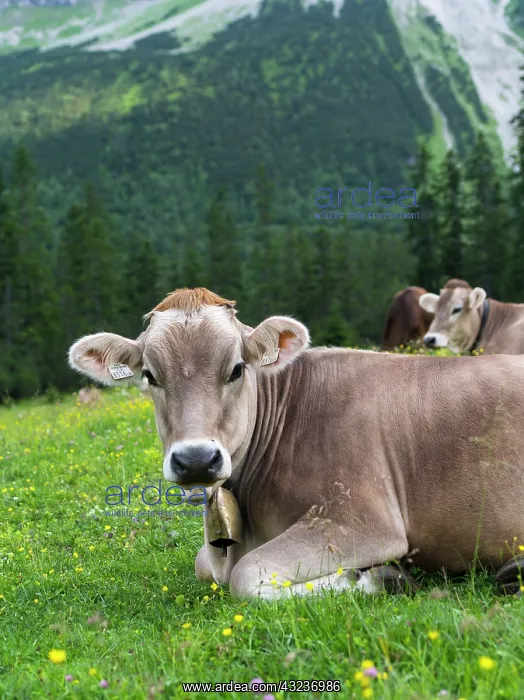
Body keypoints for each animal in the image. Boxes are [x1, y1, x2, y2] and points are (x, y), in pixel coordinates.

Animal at [68, 287, 524, 598]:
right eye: (150, 375)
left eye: (237, 369)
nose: (196, 459)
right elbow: (204, 564)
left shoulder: (363, 519)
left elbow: (246, 576)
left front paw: (380, 577)